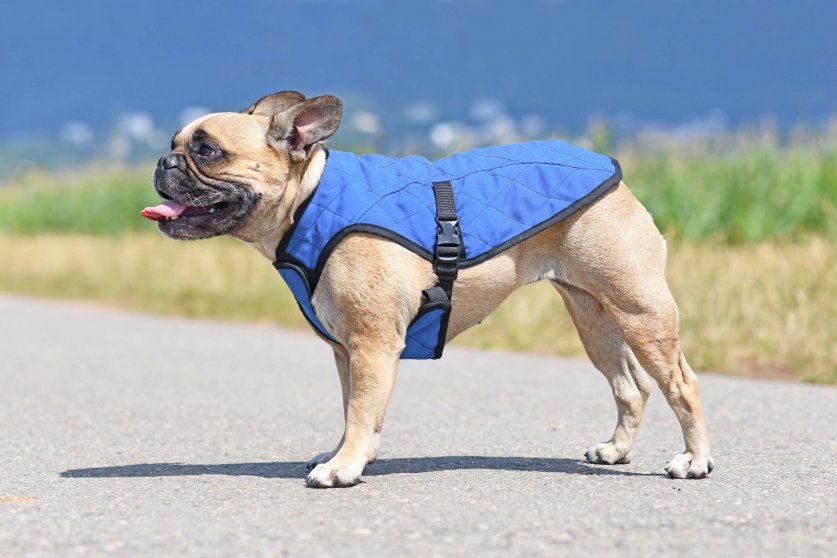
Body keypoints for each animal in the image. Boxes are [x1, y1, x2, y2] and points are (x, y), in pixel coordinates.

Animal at [142, 89, 712, 488]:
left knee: (681, 383)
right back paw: (615, 451)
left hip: (639, 309)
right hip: (592, 314)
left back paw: (695, 460)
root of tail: (614, 174)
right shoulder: (348, 350)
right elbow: (354, 408)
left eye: (207, 151)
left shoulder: (372, 344)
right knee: (630, 384)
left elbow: (361, 408)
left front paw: (342, 467)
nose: (163, 162)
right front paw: (348, 454)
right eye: (175, 145)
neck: (310, 199)